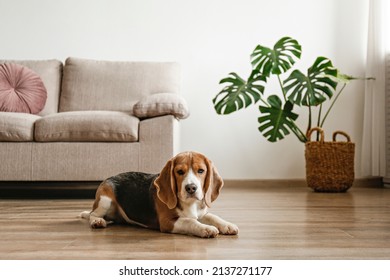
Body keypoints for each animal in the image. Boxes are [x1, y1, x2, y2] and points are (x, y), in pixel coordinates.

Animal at [80, 152, 238, 237]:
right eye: (180, 172)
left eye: (201, 171)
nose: (191, 188)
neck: (190, 204)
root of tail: (108, 178)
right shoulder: (168, 222)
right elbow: (190, 221)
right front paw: (206, 228)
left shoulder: (202, 213)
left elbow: (212, 217)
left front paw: (227, 225)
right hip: (105, 200)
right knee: (93, 214)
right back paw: (97, 221)